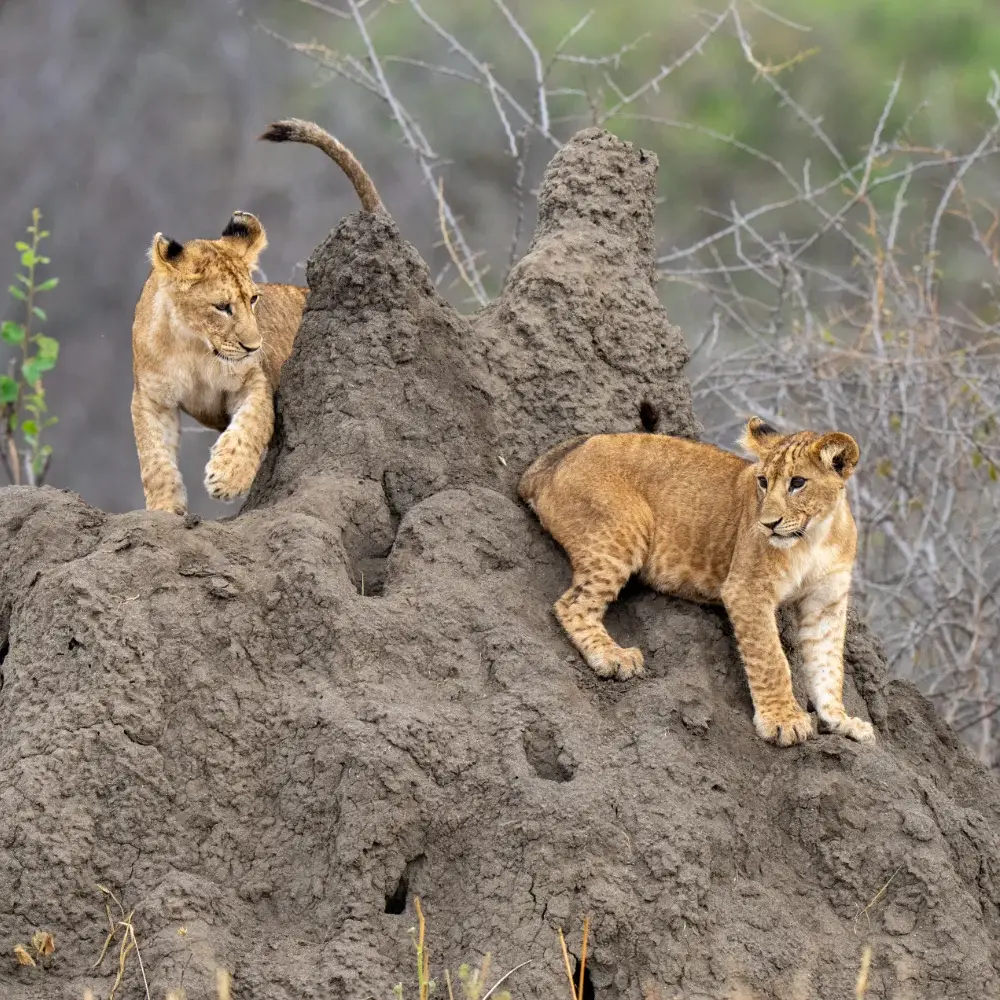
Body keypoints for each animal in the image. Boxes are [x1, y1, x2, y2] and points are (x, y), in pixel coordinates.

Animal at [130, 119, 383, 514]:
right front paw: (164, 510)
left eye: (253, 299)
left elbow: (253, 422)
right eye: (222, 306)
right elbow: (153, 456)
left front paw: (228, 475)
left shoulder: (255, 381)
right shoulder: (150, 398)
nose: (253, 346)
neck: (194, 346)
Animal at [519, 403, 875, 747]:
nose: (768, 524)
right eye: (763, 481)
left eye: (798, 482)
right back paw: (613, 657)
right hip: (623, 530)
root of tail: (549, 461)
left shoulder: (825, 602)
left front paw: (841, 721)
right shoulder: (746, 589)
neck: (814, 537)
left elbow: (828, 665)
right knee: (572, 605)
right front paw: (783, 720)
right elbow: (771, 658)